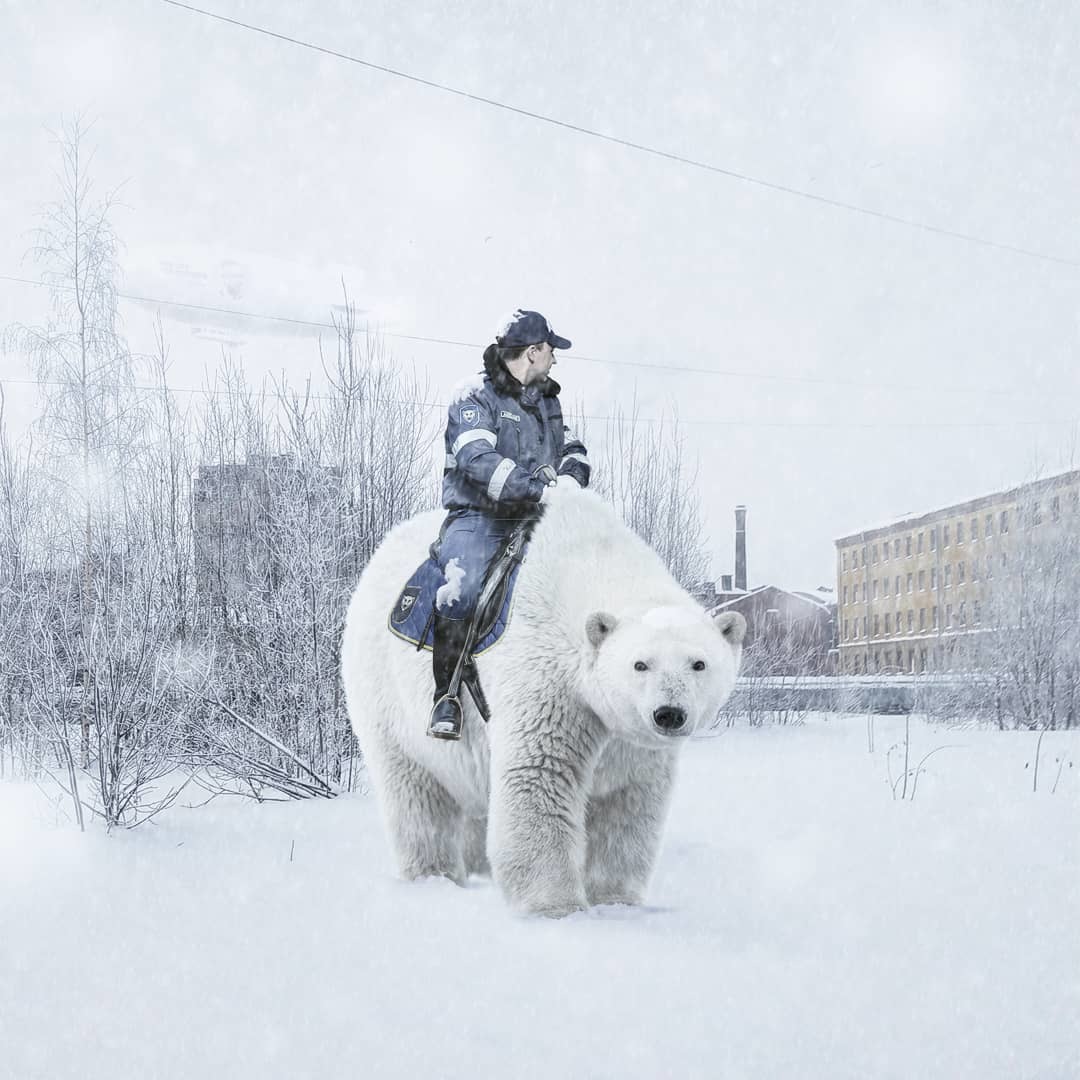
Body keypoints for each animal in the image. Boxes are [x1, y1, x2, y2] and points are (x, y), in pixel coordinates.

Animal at [341, 486, 747, 915]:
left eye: (698, 663)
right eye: (640, 664)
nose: (669, 714)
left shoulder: (629, 739)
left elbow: (627, 804)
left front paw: (616, 901)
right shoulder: (550, 684)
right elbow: (539, 777)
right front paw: (557, 906)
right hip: (386, 693)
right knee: (416, 794)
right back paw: (434, 873)